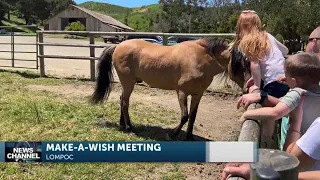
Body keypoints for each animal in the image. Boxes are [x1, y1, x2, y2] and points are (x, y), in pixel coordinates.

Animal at [90, 37, 250, 141]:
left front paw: (189, 137)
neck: (199, 59)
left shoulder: (198, 95)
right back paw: (130, 129)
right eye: (240, 64)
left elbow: (192, 116)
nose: (249, 88)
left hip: (127, 83)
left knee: (122, 99)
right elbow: (185, 116)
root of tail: (118, 46)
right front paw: (172, 134)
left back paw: (122, 125)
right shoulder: (182, 93)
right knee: (125, 102)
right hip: (128, 82)